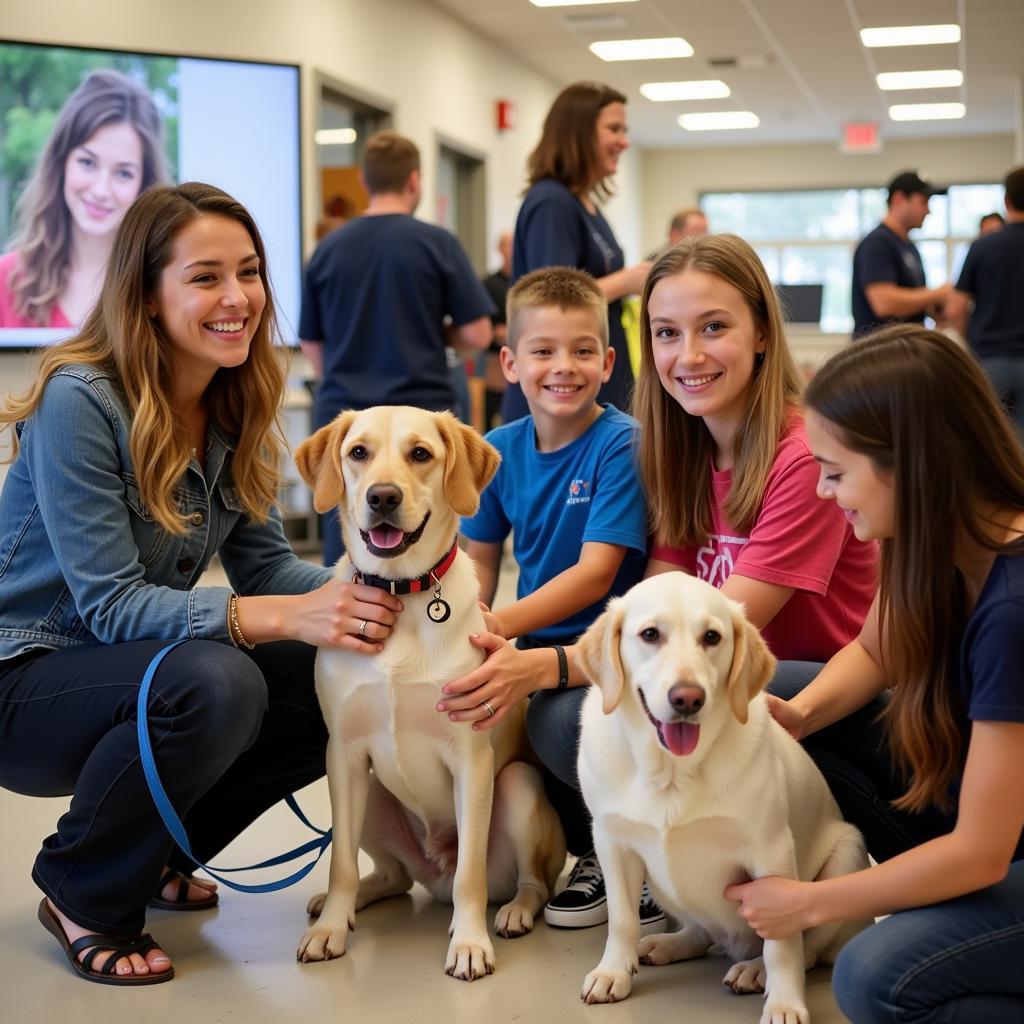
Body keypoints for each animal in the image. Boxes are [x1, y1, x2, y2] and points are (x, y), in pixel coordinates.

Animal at [292, 407, 565, 983]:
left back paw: (512, 912)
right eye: (358, 452)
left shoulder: (472, 757)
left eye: (420, 454)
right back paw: (347, 904)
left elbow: (471, 876)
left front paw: (470, 944)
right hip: (369, 792)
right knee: (392, 876)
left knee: (526, 880)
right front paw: (330, 929)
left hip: (519, 789)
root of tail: (433, 870)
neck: (402, 594)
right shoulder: (343, 754)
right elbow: (341, 863)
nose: (382, 497)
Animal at [573, 577, 868, 1024]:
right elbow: (622, 920)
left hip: (848, 853)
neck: (671, 771)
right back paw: (669, 944)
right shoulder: (612, 842)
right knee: (701, 931)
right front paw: (613, 973)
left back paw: (755, 970)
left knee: (808, 949)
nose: (687, 698)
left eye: (712, 637)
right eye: (649, 634)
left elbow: (783, 945)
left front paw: (785, 1002)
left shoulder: (771, 853)